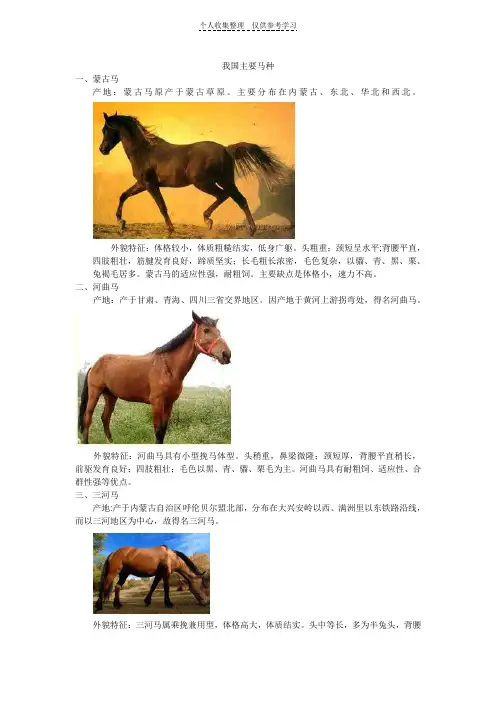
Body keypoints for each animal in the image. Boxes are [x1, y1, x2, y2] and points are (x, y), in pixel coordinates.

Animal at [78, 312, 231, 444]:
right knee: (88, 418)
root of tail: (95, 365)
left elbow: (163, 431)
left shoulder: (169, 403)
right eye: (206, 330)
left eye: (219, 332)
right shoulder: (157, 402)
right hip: (95, 392)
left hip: (110, 396)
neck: (168, 366)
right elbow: (158, 431)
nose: (227, 354)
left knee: (105, 418)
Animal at [98, 111, 286, 236]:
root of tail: (226, 149)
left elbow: (162, 206)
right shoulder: (141, 184)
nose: (102, 149)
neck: (143, 152)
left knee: (228, 196)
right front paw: (121, 223)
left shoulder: (150, 185)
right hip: (222, 181)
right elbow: (123, 195)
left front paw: (170, 230)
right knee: (235, 198)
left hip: (205, 182)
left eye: (106, 129)